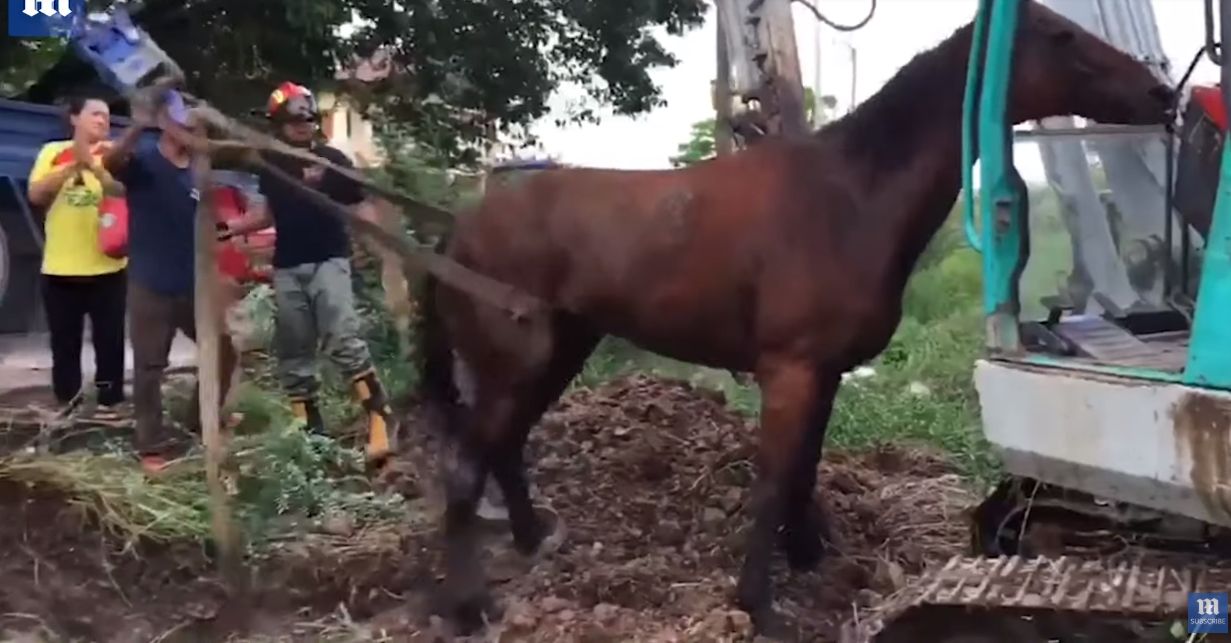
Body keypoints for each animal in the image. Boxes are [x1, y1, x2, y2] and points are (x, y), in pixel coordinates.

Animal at [421, 2, 1171, 635]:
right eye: (1062, 37)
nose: (1162, 94)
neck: (848, 195)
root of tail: (457, 227)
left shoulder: (825, 373)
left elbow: (804, 471)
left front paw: (809, 556)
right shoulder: (788, 371)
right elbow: (771, 483)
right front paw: (760, 606)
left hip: (556, 353)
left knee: (504, 447)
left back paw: (531, 539)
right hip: (515, 364)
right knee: (466, 466)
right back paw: (467, 606)